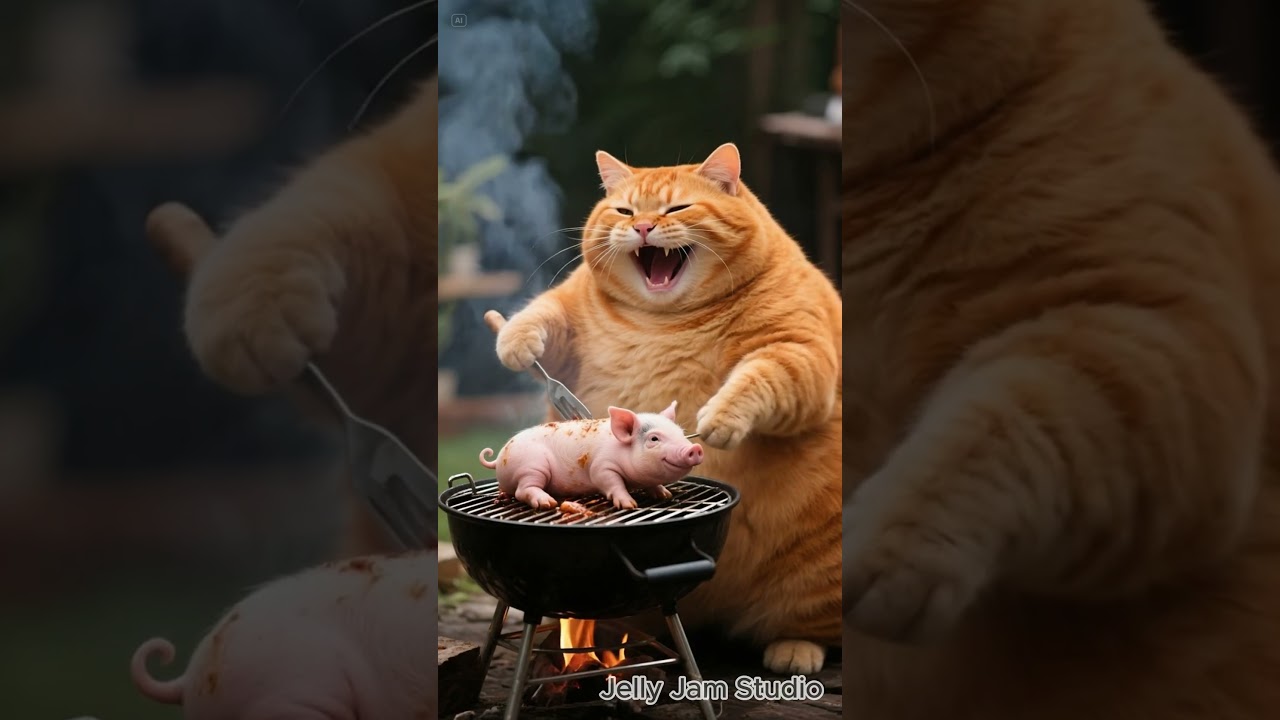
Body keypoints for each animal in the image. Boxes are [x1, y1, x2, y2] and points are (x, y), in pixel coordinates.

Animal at [478, 401, 704, 510]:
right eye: (654, 439)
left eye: (681, 433)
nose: (695, 448)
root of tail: (498, 459)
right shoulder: (602, 467)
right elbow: (613, 483)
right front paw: (629, 505)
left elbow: (654, 485)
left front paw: (666, 495)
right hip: (531, 466)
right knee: (523, 490)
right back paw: (547, 503)